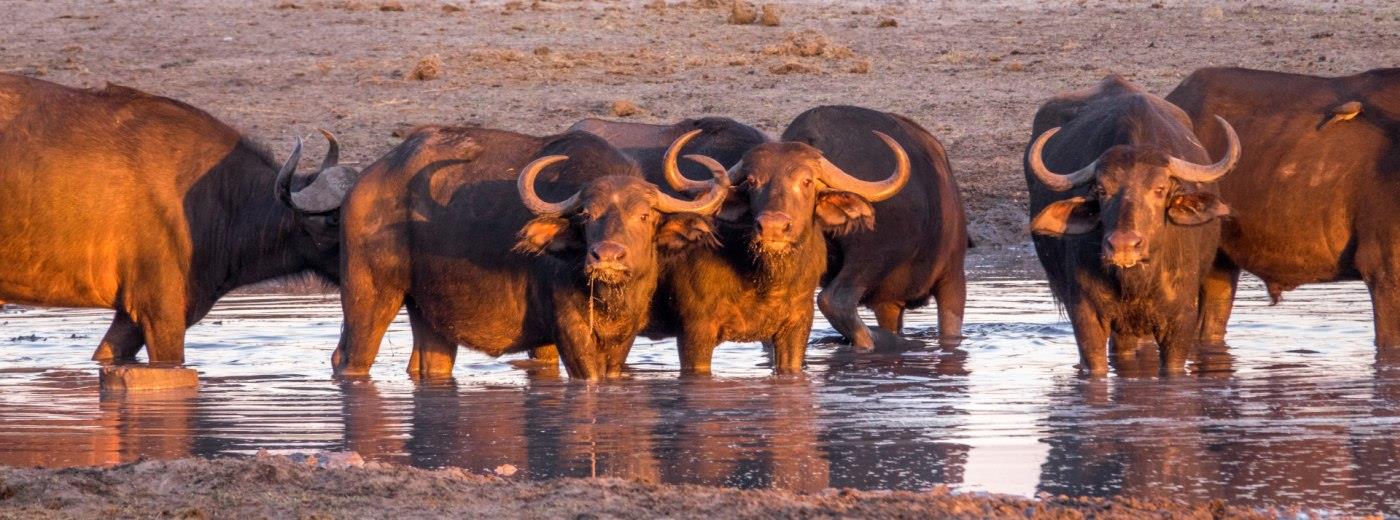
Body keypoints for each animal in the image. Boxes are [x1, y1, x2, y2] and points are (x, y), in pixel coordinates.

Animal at [332, 127, 728, 380]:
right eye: (586, 215)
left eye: (644, 216)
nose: (606, 257)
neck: (609, 297)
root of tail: (364, 184)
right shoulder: (569, 330)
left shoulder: (625, 335)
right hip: (368, 295)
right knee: (349, 356)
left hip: (429, 311)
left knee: (428, 364)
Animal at [1025, 75, 1239, 374]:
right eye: (1102, 189)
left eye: (1160, 189)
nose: (1123, 246)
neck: (1134, 280)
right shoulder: (1086, 314)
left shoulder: (1180, 320)